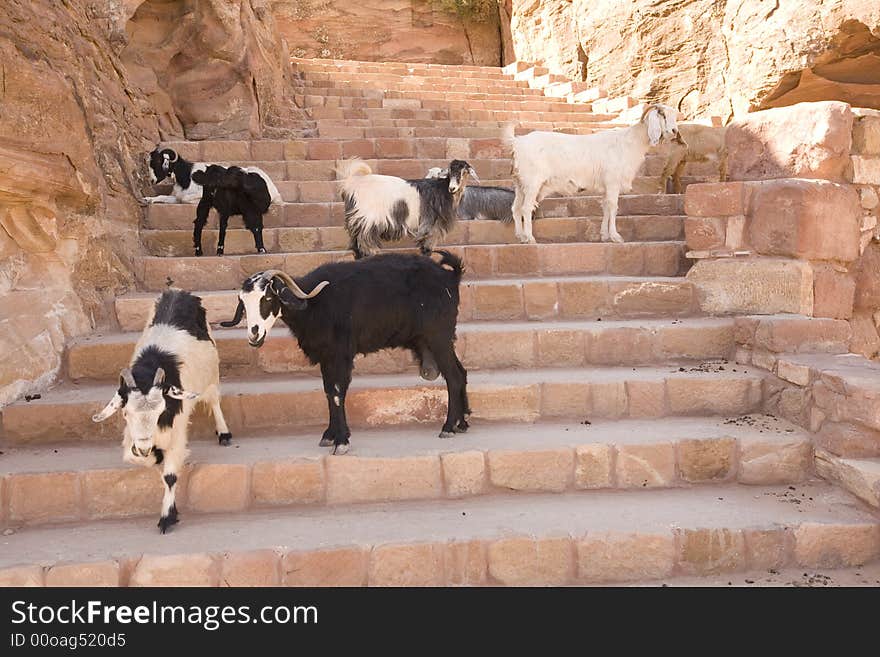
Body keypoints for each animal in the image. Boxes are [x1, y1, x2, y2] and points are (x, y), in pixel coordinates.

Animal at [91, 290, 230, 532]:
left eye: (160, 412)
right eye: (126, 413)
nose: (145, 447)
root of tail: (179, 292)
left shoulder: (177, 430)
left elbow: (171, 475)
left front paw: (167, 517)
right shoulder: (132, 437)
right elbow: (134, 457)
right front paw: (154, 456)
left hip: (211, 375)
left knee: (214, 401)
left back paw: (223, 432)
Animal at [222, 252, 468, 456]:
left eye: (268, 298)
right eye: (243, 303)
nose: (254, 334)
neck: (314, 304)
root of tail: (451, 277)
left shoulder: (340, 354)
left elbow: (337, 392)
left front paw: (341, 441)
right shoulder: (326, 356)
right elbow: (328, 391)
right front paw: (330, 435)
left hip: (438, 337)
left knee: (454, 377)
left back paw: (448, 427)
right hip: (440, 340)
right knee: (461, 372)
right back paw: (462, 422)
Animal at [506, 105, 684, 243]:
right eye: (663, 115)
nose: (675, 131)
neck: (630, 142)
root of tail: (517, 142)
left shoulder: (606, 186)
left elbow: (605, 207)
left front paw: (604, 235)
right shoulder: (612, 182)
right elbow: (613, 207)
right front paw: (616, 236)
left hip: (520, 184)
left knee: (516, 208)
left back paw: (521, 236)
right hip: (532, 183)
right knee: (526, 208)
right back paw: (530, 238)